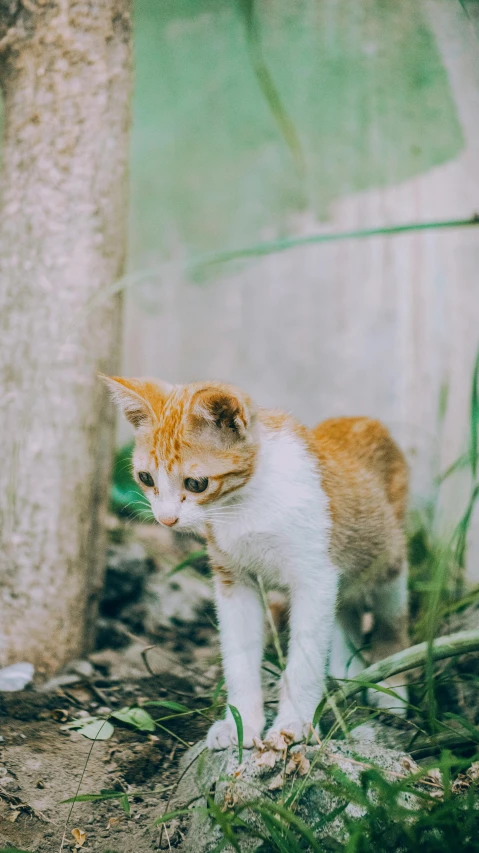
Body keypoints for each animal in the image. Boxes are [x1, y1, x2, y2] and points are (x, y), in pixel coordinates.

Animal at [104, 378, 408, 744]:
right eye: (146, 478)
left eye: (196, 484)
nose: (166, 520)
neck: (244, 503)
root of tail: (364, 419)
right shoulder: (233, 579)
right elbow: (239, 655)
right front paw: (240, 724)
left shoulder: (315, 577)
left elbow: (305, 656)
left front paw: (294, 724)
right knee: (347, 605)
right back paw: (344, 670)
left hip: (388, 558)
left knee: (391, 618)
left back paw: (390, 687)